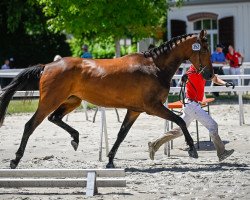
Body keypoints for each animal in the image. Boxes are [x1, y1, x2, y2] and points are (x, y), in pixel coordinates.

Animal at [0, 29, 214, 169]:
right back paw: (15, 160)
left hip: (72, 101)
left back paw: (75, 139)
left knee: (55, 118)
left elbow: (121, 134)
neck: (154, 67)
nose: (210, 74)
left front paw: (110, 159)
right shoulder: (153, 107)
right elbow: (180, 121)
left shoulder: (135, 110)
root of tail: (47, 66)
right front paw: (192, 149)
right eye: (204, 49)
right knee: (30, 125)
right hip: (49, 101)